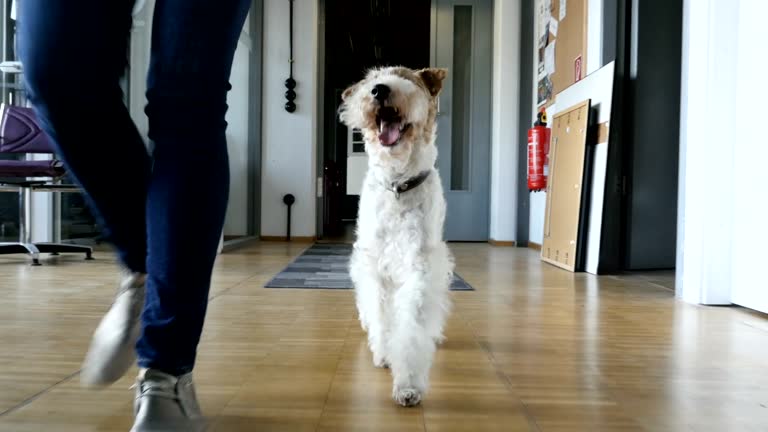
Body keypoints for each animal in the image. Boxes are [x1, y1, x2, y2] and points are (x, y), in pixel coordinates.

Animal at [340, 66, 452, 406]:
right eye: (371, 78)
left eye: (408, 79)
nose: (379, 90)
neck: (397, 184)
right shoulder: (375, 264)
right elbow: (381, 315)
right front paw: (384, 353)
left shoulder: (420, 266)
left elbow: (412, 325)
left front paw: (408, 386)